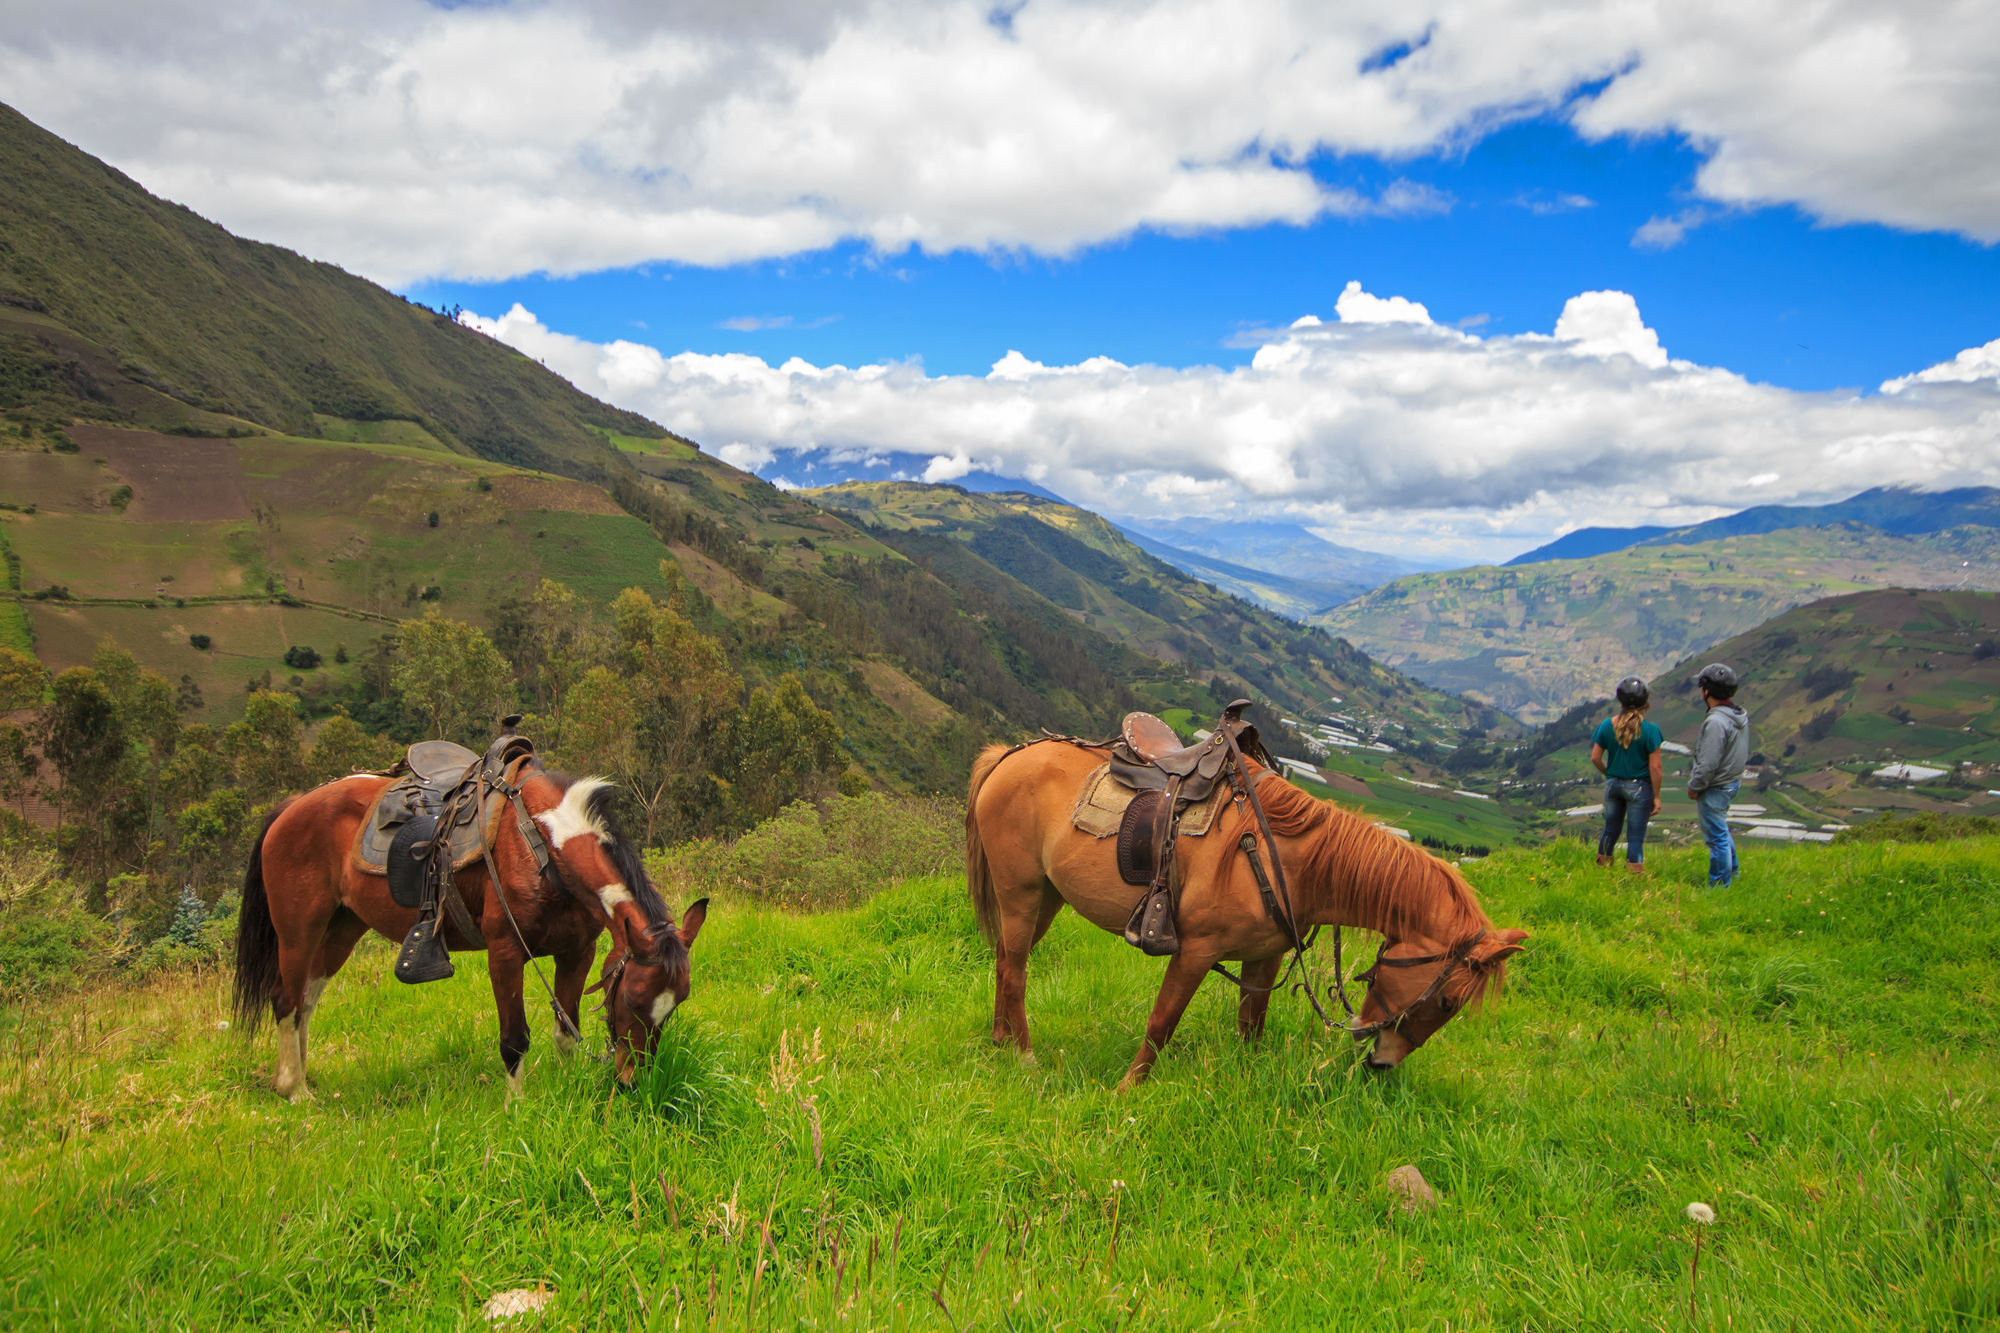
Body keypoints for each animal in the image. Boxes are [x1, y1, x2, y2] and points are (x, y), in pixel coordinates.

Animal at [234, 768, 708, 1096]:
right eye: (633, 1000)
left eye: (674, 1006)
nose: (631, 1081)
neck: (541, 845)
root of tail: (292, 806)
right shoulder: (505, 952)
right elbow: (515, 1039)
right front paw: (517, 1108)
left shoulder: (578, 952)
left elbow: (567, 1031)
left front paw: (568, 1089)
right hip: (298, 929)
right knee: (286, 999)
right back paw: (294, 1090)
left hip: (342, 927)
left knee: (307, 999)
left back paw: (301, 1075)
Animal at [968, 732, 1528, 1088]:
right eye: (1449, 1002)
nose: (1383, 1064)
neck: (1289, 862)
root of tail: (1008, 755)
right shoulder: (1193, 952)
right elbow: (1161, 1023)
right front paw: (1128, 1090)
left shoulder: (1265, 959)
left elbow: (1250, 1027)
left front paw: (1245, 1079)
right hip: (1020, 893)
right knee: (1016, 972)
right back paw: (1024, 1057)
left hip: (1047, 898)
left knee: (1005, 959)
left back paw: (998, 1041)